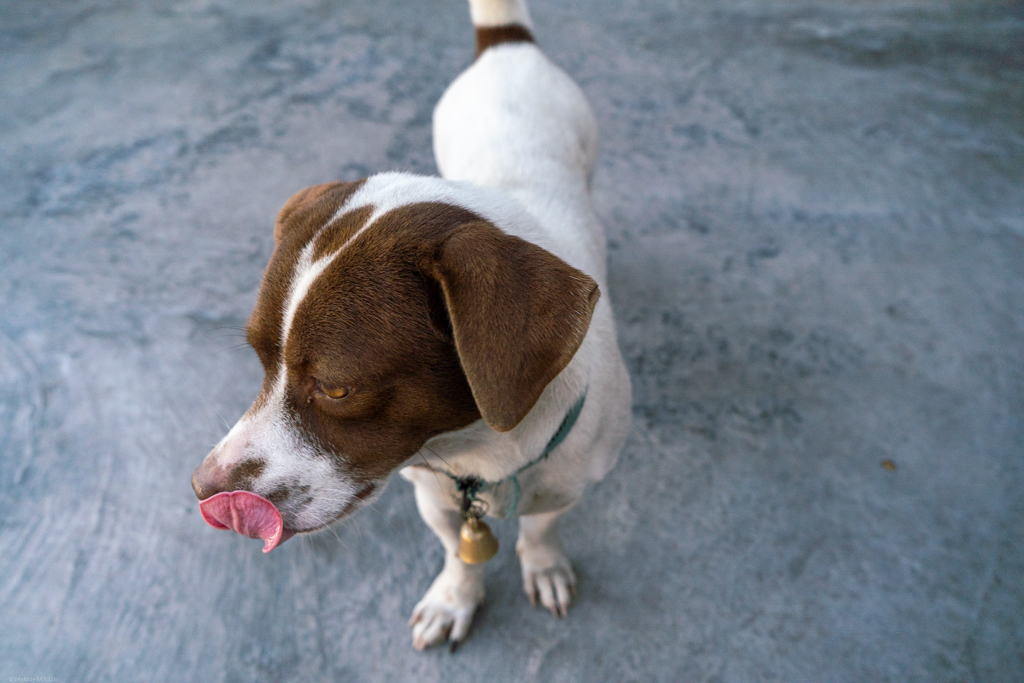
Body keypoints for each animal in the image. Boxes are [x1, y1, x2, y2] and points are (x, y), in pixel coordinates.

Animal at [188, 0, 626, 651]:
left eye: (337, 388)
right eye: (260, 358)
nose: (205, 489)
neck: (481, 452)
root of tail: (506, 43)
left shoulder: (568, 484)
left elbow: (542, 530)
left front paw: (543, 564)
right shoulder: (432, 494)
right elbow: (458, 553)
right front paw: (454, 597)